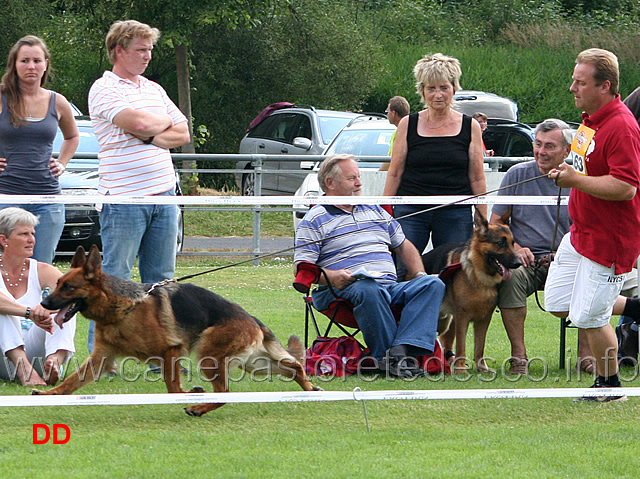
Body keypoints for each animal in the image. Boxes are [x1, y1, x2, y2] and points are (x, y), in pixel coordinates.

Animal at [31, 246, 318, 418]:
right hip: (253, 364)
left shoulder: (169, 351)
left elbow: (172, 388)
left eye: (68, 287)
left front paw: (192, 393)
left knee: (225, 393)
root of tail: (252, 319)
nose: (43, 304)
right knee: (293, 367)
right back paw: (310, 389)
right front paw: (48, 395)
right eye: (58, 283)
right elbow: (71, 382)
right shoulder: (102, 358)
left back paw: (198, 407)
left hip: (208, 355)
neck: (121, 308)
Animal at [422, 211, 524, 376]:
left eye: (512, 243)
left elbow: (479, 347)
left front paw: (482, 368)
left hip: (443, 322)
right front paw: (461, 370)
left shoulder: (484, 319)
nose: (518, 263)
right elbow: (461, 347)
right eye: (500, 243)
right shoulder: (462, 318)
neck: (478, 273)